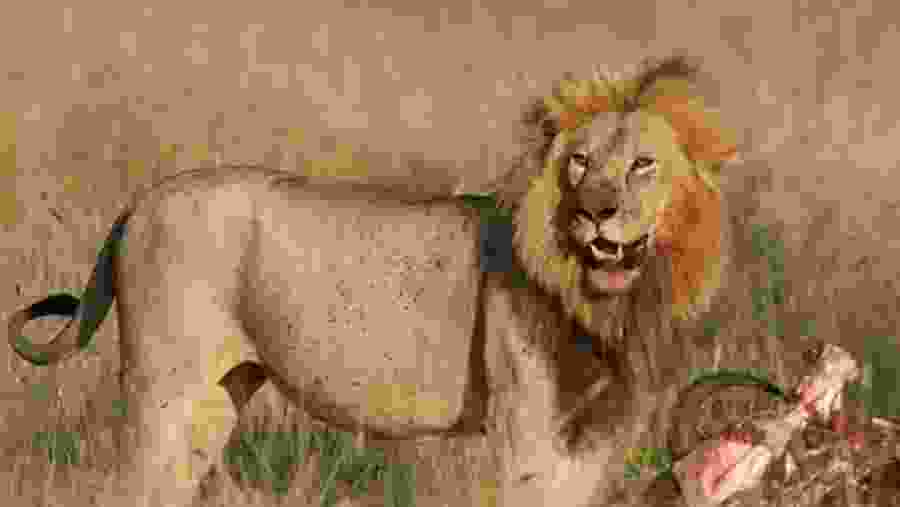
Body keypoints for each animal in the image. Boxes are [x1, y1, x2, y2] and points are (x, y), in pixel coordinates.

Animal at [7, 55, 738, 507]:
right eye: (579, 163)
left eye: (643, 165)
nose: (596, 212)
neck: (613, 304)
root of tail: (139, 203)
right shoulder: (525, 432)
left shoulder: (597, 437)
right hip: (163, 389)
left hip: (213, 399)